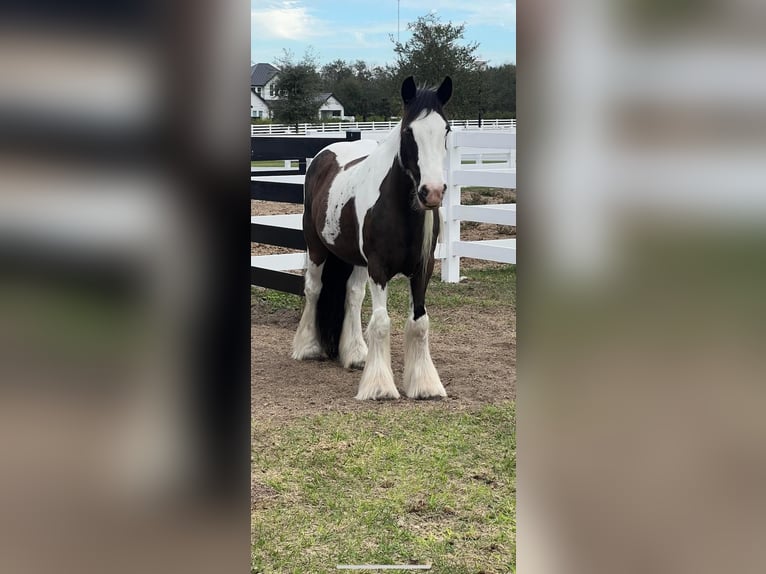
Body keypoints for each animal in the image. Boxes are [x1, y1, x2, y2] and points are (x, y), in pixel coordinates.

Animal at [292, 76, 450, 400]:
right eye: (408, 131)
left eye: (446, 130)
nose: (432, 192)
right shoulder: (379, 268)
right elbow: (380, 322)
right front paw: (379, 386)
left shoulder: (423, 268)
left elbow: (420, 322)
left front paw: (424, 385)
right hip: (316, 247)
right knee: (314, 289)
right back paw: (308, 347)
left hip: (355, 259)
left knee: (352, 295)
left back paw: (355, 355)